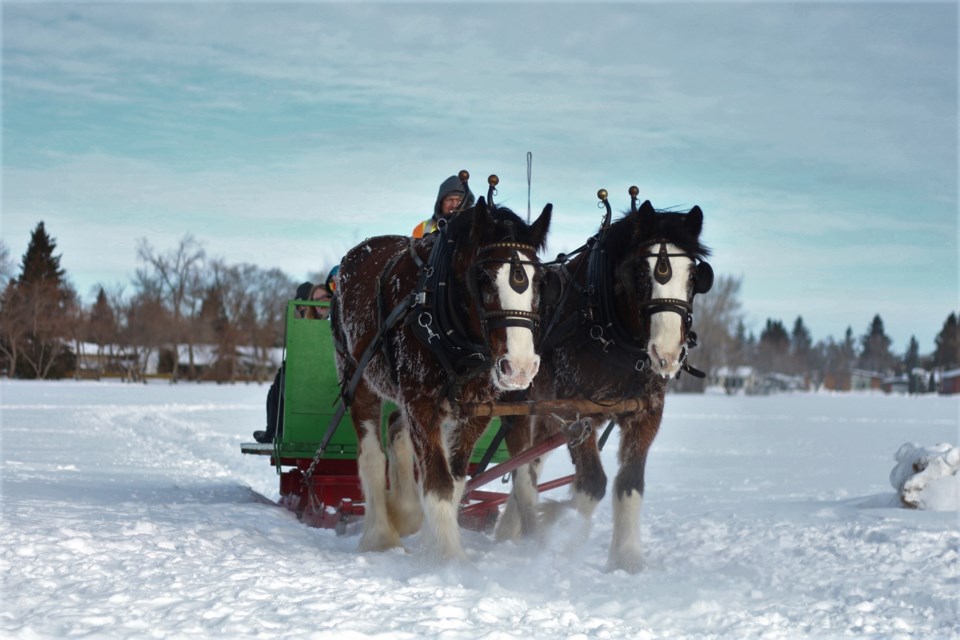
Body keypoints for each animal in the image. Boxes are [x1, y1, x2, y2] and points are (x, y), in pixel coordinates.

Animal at [496, 198, 712, 572]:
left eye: (694, 276)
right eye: (640, 273)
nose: (667, 353)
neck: (606, 328)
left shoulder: (645, 416)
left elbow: (630, 484)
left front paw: (626, 558)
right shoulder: (575, 413)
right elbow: (592, 485)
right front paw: (562, 536)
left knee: (532, 461)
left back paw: (511, 528)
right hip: (520, 405)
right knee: (522, 464)